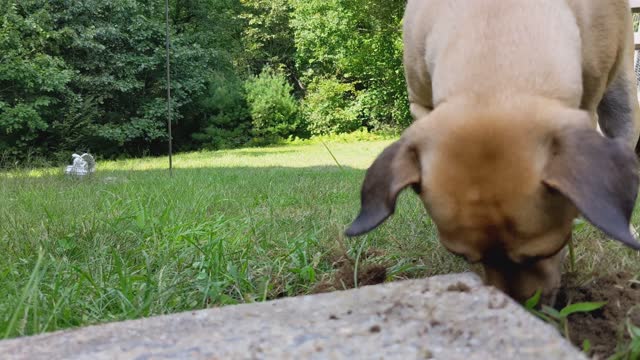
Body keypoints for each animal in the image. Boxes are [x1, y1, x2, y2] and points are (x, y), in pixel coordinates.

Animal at [348, 0, 640, 302]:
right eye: (464, 257)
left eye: (547, 251)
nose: (526, 305)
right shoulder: (420, 104)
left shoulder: (588, 101)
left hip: (623, 96)